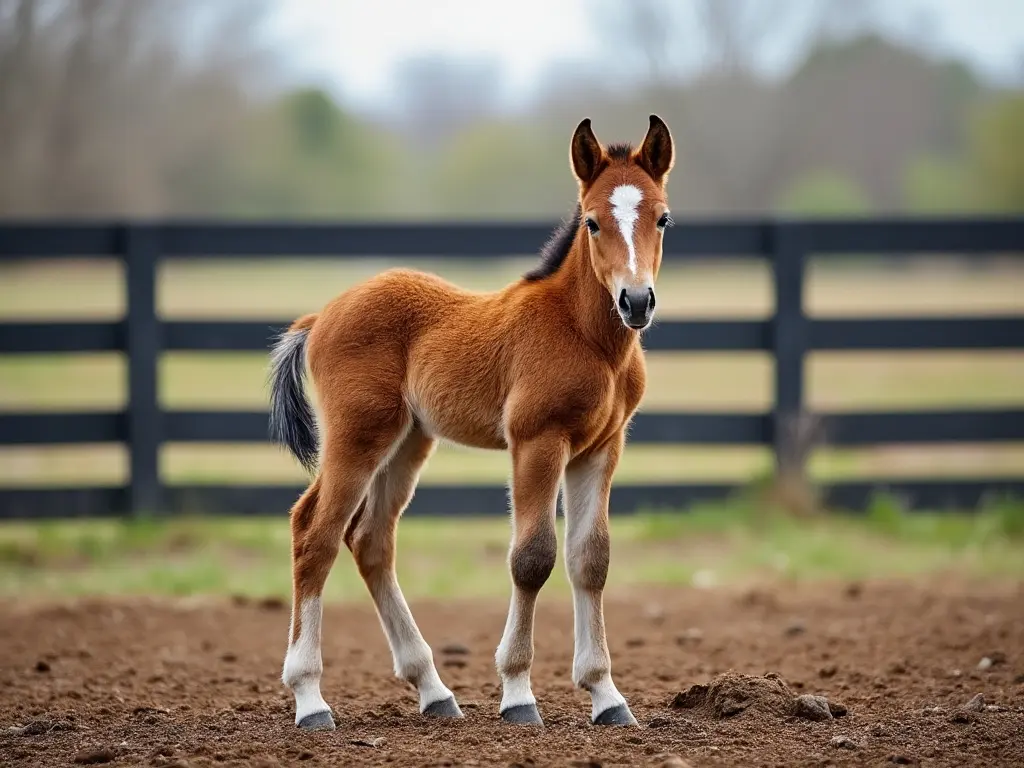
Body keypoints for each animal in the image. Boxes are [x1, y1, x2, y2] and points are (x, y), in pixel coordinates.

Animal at [268, 114, 675, 733]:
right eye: (592, 221)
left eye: (662, 217)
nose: (635, 301)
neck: (585, 336)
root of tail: (323, 314)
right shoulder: (537, 441)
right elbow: (532, 558)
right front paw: (518, 694)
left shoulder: (601, 448)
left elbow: (591, 559)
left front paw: (607, 696)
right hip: (359, 435)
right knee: (315, 531)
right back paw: (311, 699)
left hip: (408, 441)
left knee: (370, 539)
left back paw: (433, 690)